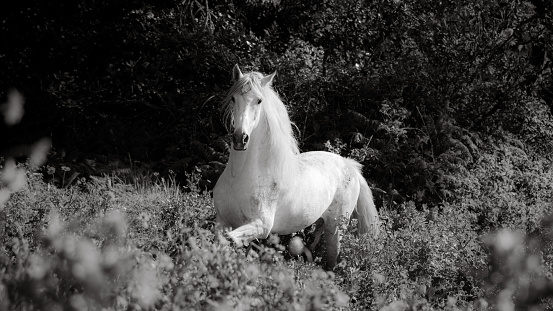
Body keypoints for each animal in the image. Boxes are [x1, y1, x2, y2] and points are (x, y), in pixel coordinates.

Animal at [212, 64, 380, 270]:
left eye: (259, 100)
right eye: (234, 98)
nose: (240, 139)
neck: (239, 176)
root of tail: (350, 166)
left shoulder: (260, 226)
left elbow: (230, 239)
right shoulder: (222, 220)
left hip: (336, 229)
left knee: (331, 261)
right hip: (321, 223)